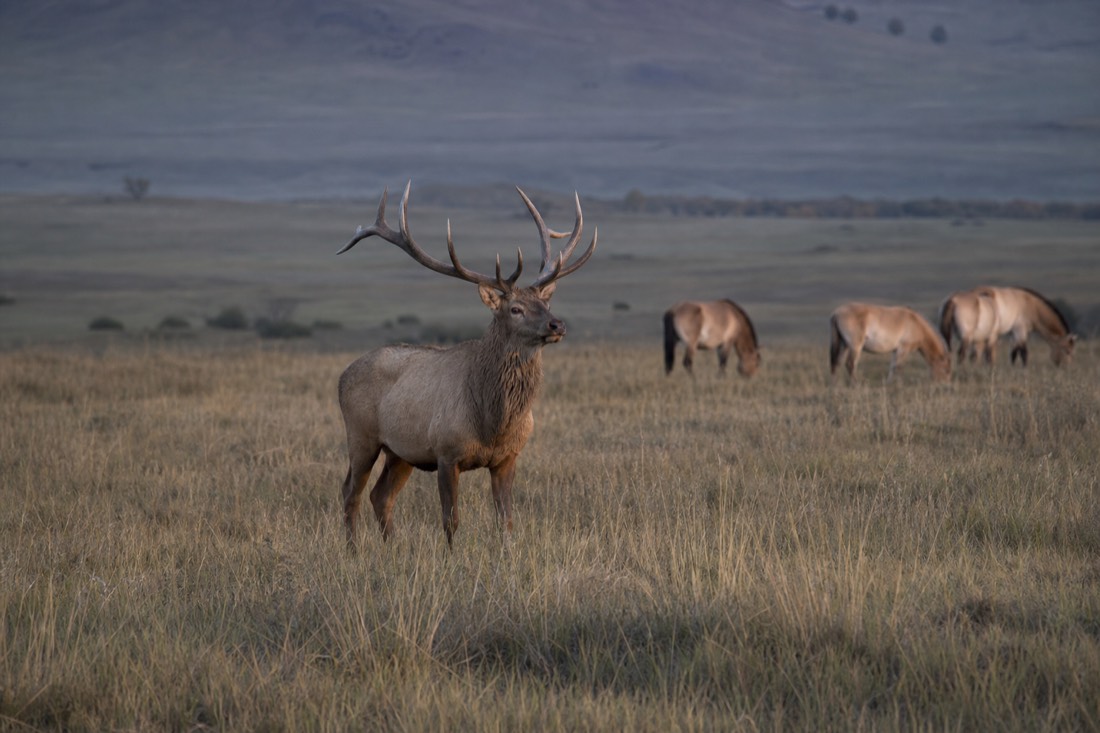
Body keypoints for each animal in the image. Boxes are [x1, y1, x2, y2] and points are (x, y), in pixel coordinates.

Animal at [336, 182, 596, 548]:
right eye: (515, 308)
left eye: (545, 302)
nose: (557, 325)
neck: (493, 422)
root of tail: (342, 376)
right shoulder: (446, 453)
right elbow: (451, 520)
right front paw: (451, 557)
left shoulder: (507, 458)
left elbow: (506, 522)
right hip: (361, 435)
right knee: (350, 492)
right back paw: (353, 551)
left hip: (401, 452)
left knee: (380, 495)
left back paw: (393, 548)